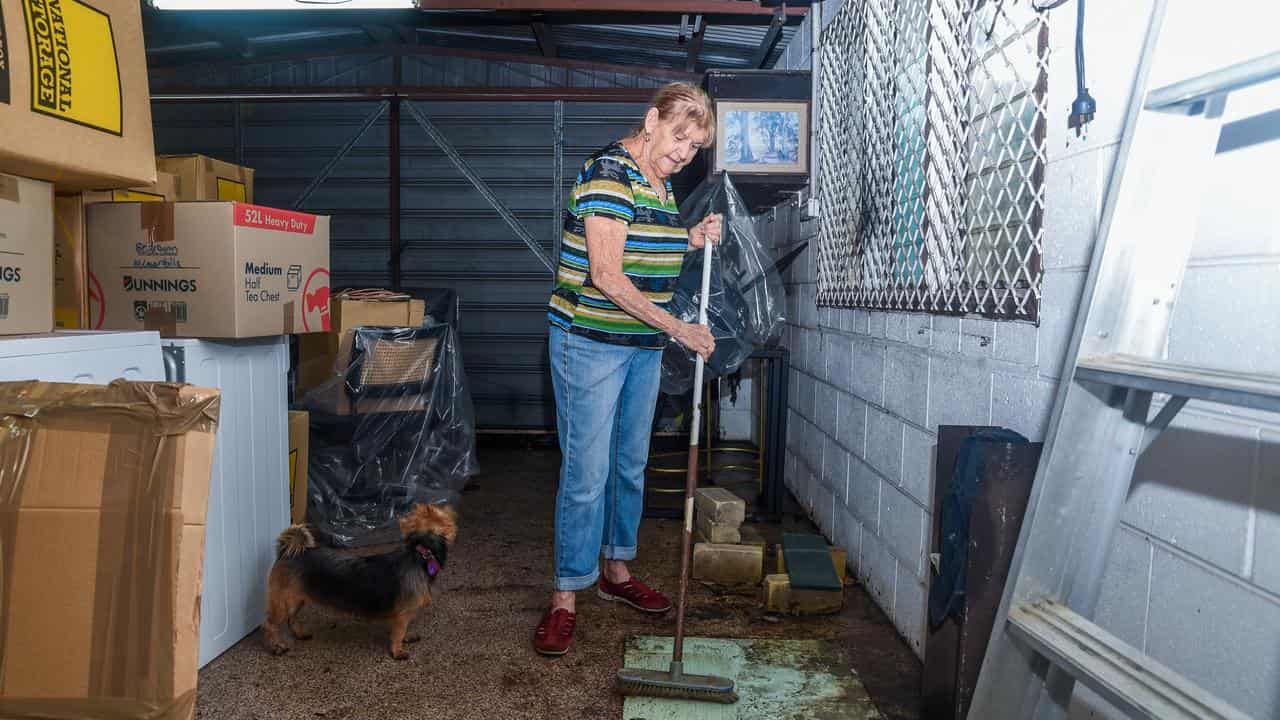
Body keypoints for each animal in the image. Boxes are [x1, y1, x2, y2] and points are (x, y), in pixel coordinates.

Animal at [262, 502, 458, 661]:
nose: (450, 506)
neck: (421, 553)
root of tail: (287, 552)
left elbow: (403, 631)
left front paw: (406, 639)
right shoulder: (403, 614)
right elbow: (398, 633)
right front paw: (397, 651)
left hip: (296, 599)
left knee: (291, 618)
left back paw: (300, 634)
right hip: (282, 602)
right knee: (270, 624)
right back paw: (277, 646)